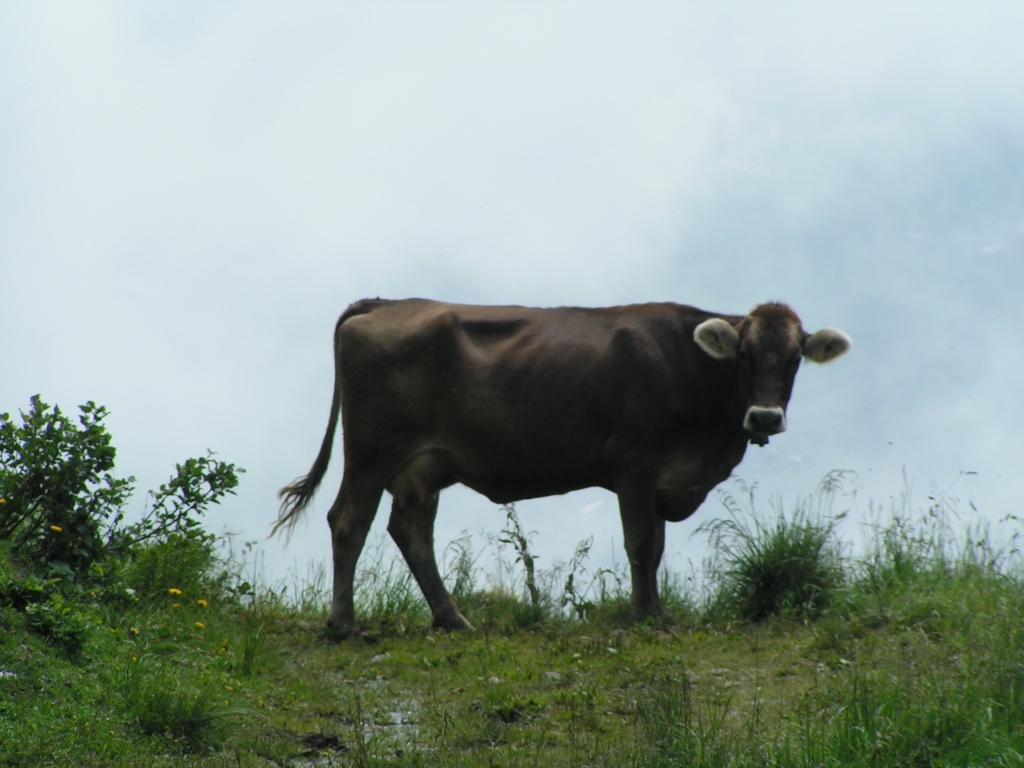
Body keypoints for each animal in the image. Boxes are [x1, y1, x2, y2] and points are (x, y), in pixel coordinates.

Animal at [276, 298, 850, 637]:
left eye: (795, 359)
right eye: (744, 355)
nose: (765, 416)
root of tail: (388, 302)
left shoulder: (662, 477)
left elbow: (656, 548)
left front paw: (655, 611)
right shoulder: (634, 463)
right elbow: (642, 544)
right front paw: (644, 617)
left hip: (421, 467)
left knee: (411, 531)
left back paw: (453, 618)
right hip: (372, 452)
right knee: (349, 522)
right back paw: (344, 625)